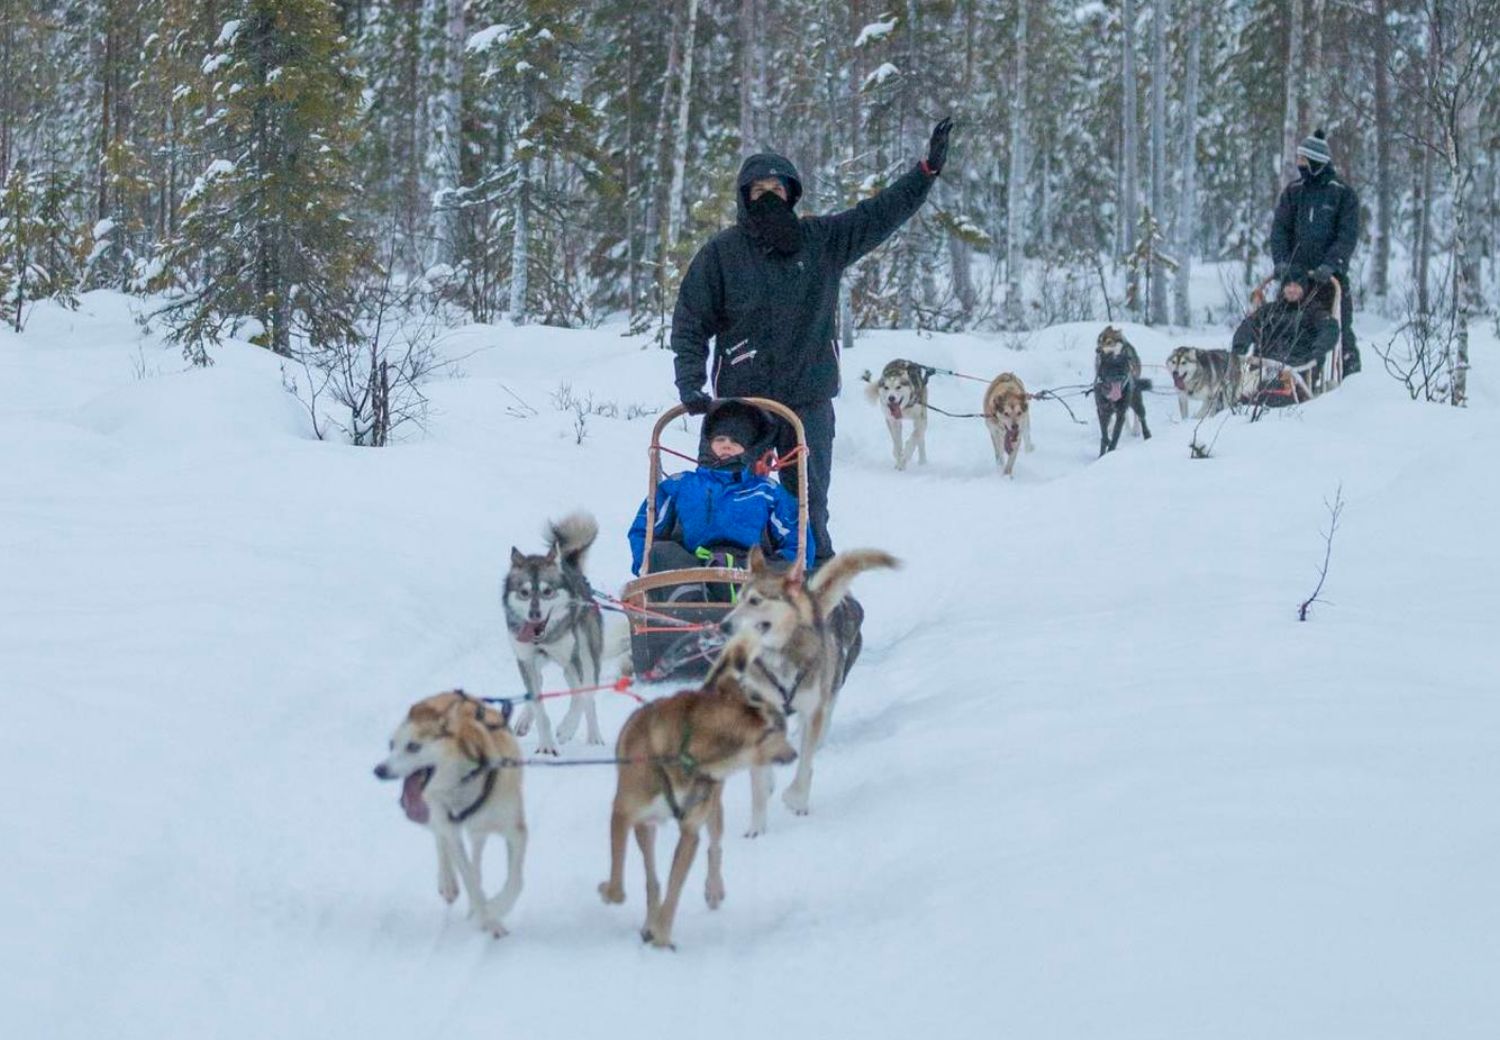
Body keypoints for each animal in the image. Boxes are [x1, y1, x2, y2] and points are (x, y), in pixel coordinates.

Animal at [373, 693, 528, 936]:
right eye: (391, 745)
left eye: (413, 746)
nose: (379, 770)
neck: (467, 779)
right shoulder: (452, 830)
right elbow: (470, 879)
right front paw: (487, 917)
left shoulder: (516, 831)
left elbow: (515, 881)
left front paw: (496, 908)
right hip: (437, 812)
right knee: (441, 838)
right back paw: (448, 882)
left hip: (479, 827)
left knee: (476, 847)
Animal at [507, 513, 606, 750]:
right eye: (524, 592)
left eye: (547, 591)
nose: (534, 614)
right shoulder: (525, 659)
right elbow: (538, 705)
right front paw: (546, 745)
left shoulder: (572, 660)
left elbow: (579, 697)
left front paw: (566, 729)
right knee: (540, 681)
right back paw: (524, 720)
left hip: (587, 658)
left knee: (588, 696)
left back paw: (594, 737)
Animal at [600, 633, 804, 948]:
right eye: (778, 732)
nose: (794, 753)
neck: (687, 752)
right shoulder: (625, 815)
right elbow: (625, 882)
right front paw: (618, 898)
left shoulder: (690, 831)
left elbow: (675, 888)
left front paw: (662, 936)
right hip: (647, 824)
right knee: (652, 872)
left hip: (712, 808)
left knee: (715, 846)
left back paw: (713, 890)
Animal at [720, 546, 894, 834]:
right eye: (739, 599)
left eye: (755, 601)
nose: (723, 625)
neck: (780, 656)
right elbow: (758, 785)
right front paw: (757, 827)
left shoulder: (813, 712)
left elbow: (804, 765)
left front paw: (797, 800)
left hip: (827, 694)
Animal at [1098, 324, 1152, 453]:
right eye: (1099, 341)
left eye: (1109, 342)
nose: (1097, 350)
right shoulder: (1102, 409)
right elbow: (1106, 430)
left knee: (1137, 415)